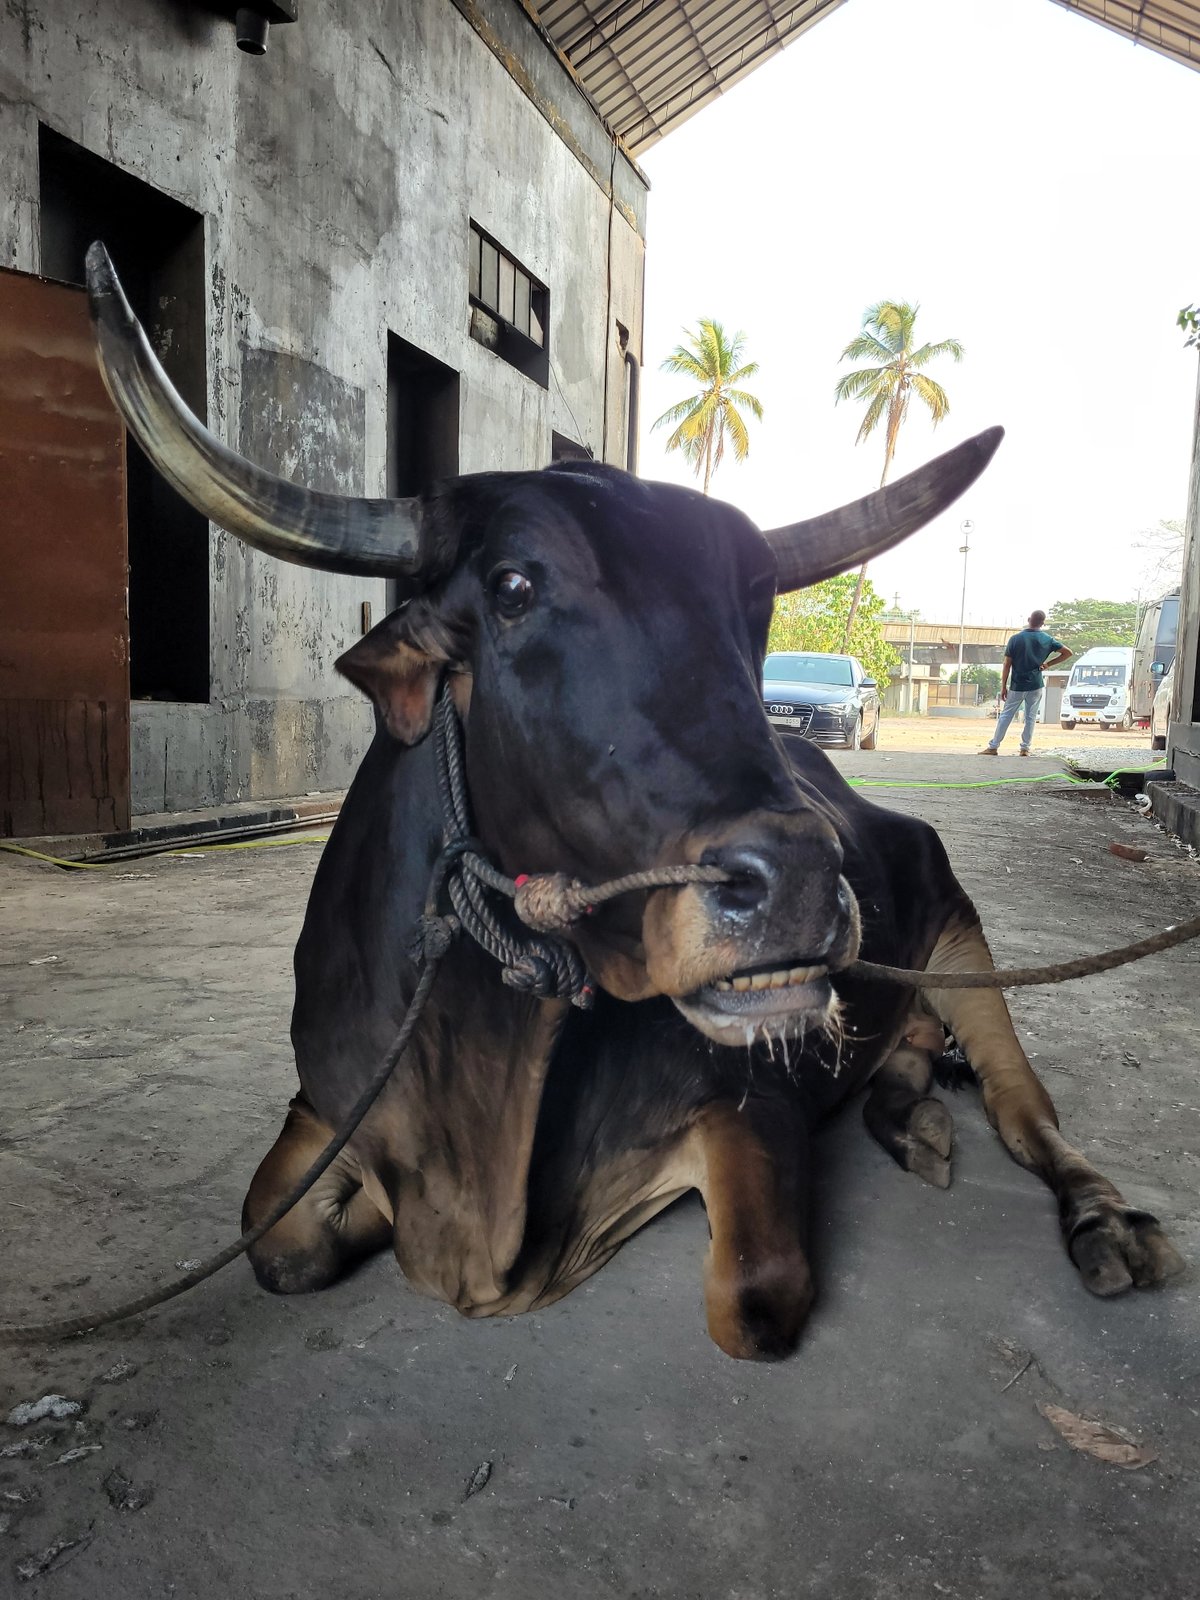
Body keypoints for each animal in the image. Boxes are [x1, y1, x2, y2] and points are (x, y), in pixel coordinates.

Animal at [87, 244, 1183, 1361]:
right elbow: (279, 1245)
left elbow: (756, 1297)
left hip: (965, 941)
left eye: (757, 600)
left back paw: (1101, 1221)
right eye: (513, 588)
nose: (797, 883)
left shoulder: (751, 1104)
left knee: (1028, 1112)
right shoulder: (326, 1108)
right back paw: (908, 1116)